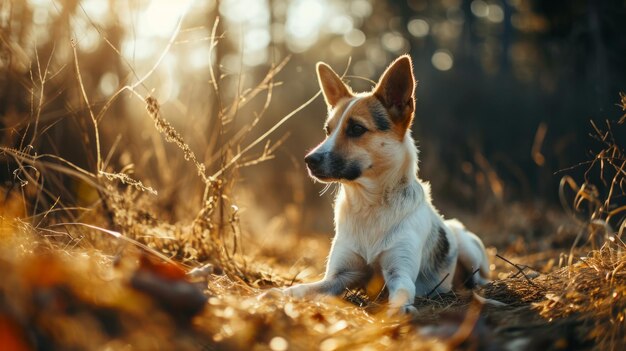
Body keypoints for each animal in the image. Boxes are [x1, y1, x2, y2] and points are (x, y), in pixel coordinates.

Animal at [282, 55, 488, 316]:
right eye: (328, 130)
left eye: (356, 129)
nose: (309, 160)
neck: (369, 205)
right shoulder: (339, 276)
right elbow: (301, 288)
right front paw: (273, 294)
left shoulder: (400, 274)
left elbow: (400, 297)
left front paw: (397, 314)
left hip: (468, 249)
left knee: (478, 278)